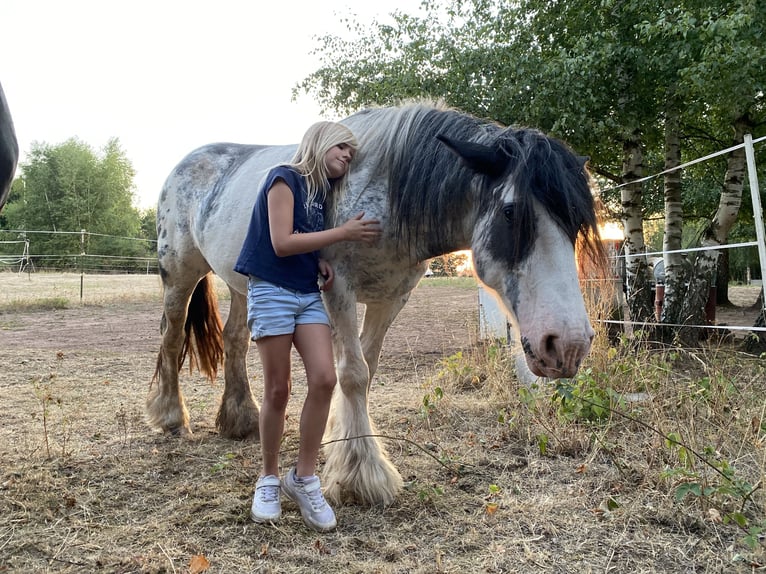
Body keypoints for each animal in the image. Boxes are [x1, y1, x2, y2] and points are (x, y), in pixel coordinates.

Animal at [148, 101, 608, 506]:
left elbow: (365, 370)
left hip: (243, 286)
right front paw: (362, 477)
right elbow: (353, 374)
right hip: (180, 272)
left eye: (576, 223)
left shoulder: (391, 299)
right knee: (171, 335)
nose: (568, 345)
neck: (387, 192)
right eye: (511, 213)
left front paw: (342, 444)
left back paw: (240, 419)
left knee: (235, 340)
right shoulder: (338, 289)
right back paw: (171, 417)